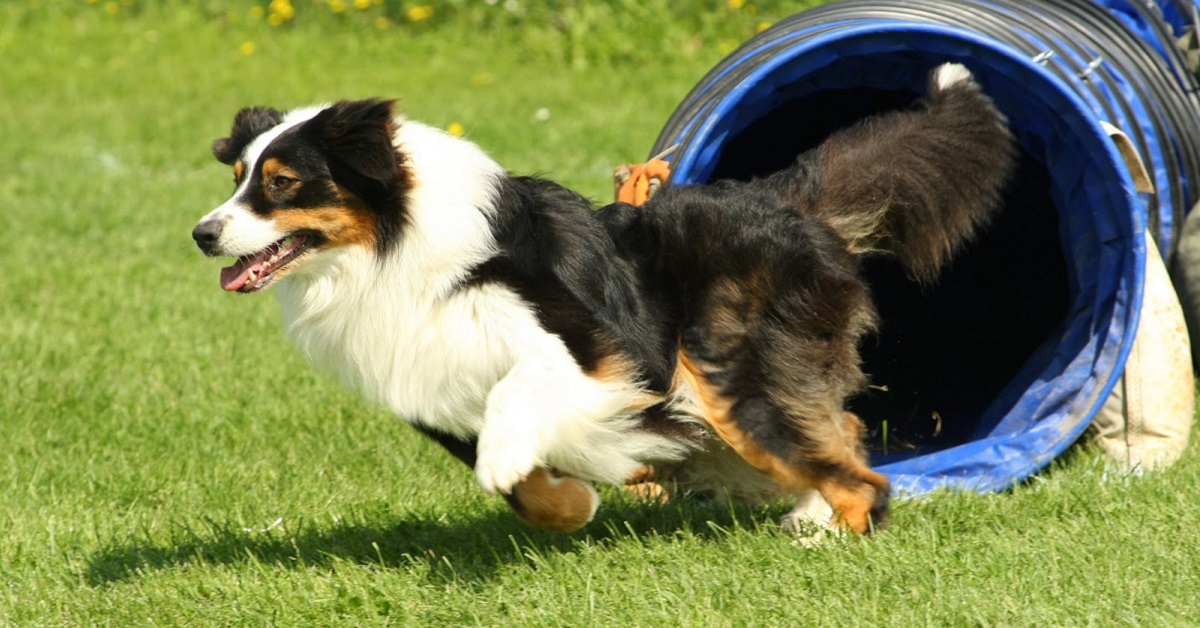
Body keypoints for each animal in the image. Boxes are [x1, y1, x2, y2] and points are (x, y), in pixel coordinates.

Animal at [194, 63, 1012, 535]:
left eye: (281, 184)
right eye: (236, 177)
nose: (203, 234)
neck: (393, 247)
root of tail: (783, 199)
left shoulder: (593, 349)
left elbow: (517, 400)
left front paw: (515, 463)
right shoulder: (433, 387)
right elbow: (525, 492)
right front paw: (570, 504)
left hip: (720, 373)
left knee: (858, 472)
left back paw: (830, 529)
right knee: (839, 425)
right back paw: (807, 511)